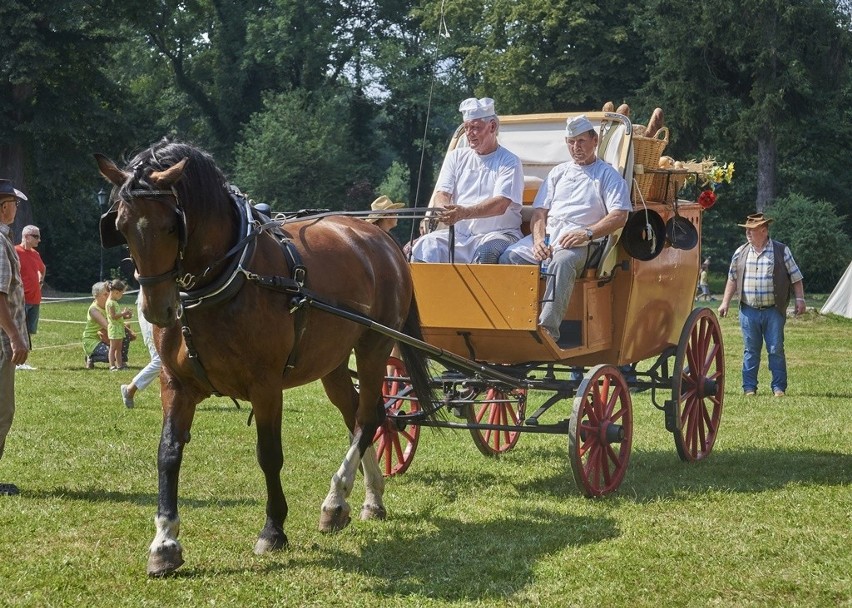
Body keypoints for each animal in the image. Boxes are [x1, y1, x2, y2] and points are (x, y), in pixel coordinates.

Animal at [96, 140, 436, 576]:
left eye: (173, 225)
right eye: (121, 226)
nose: (157, 309)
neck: (230, 276)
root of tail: (380, 239)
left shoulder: (266, 385)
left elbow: (269, 455)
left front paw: (273, 529)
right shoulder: (176, 383)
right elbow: (168, 454)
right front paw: (165, 542)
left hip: (375, 345)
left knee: (368, 419)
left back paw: (334, 499)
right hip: (333, 362)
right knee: (362, 412)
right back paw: (368, 499)